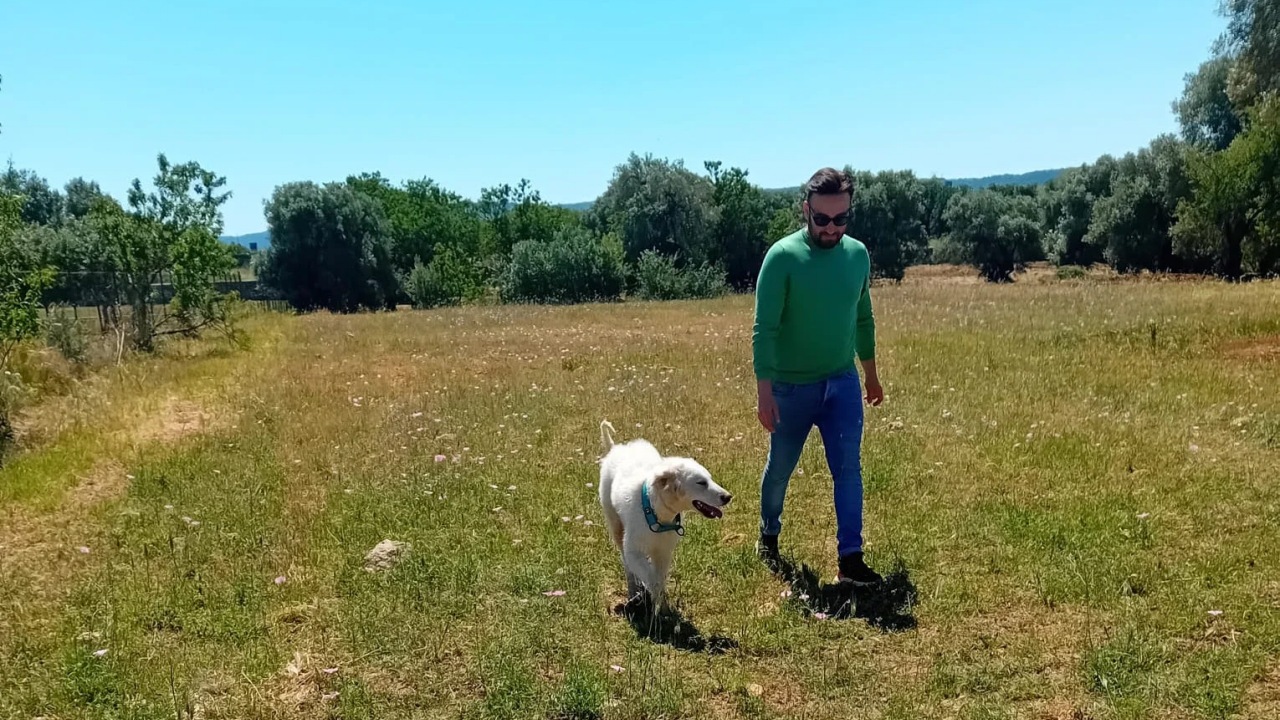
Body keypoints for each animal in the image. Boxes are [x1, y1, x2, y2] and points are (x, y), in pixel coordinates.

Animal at [596, 417, 737, 607]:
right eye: (701, 483)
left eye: (710, 479)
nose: (728, 497)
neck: (657, 515)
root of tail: (616, 448)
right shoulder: (634, 551)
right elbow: (650, 576)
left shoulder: (663, 553)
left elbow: (659, 580)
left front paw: (660, 607)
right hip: (616, 525)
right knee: (627, 565)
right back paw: (633, 590)